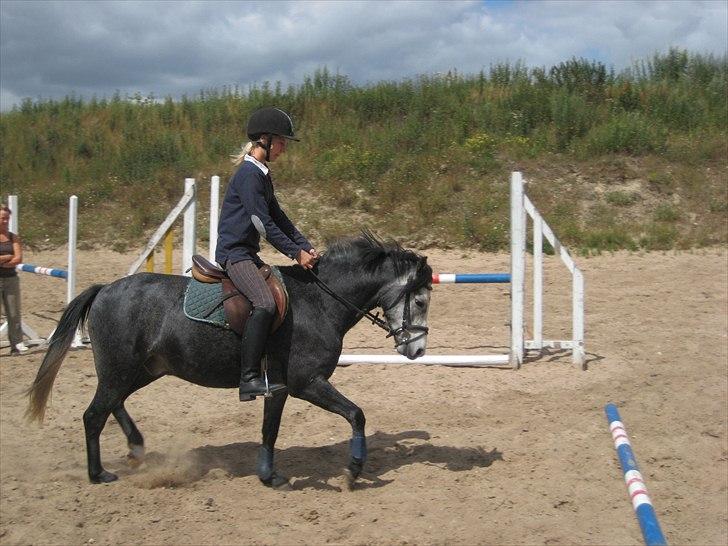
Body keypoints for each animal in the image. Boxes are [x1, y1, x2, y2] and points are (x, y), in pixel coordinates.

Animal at [26, 232, 433, 488]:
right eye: (421, 301)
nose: (417, 350)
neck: (319, 301)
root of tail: (104, 289)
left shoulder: (278, 387)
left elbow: (270, 430)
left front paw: (269, 476)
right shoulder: (307, 383)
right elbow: (356, 414)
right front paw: (354, 469)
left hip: (142, 370)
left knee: (114, 404)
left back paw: (136, 447)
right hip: (121, 370)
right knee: (94, 414)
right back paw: (98, 474)